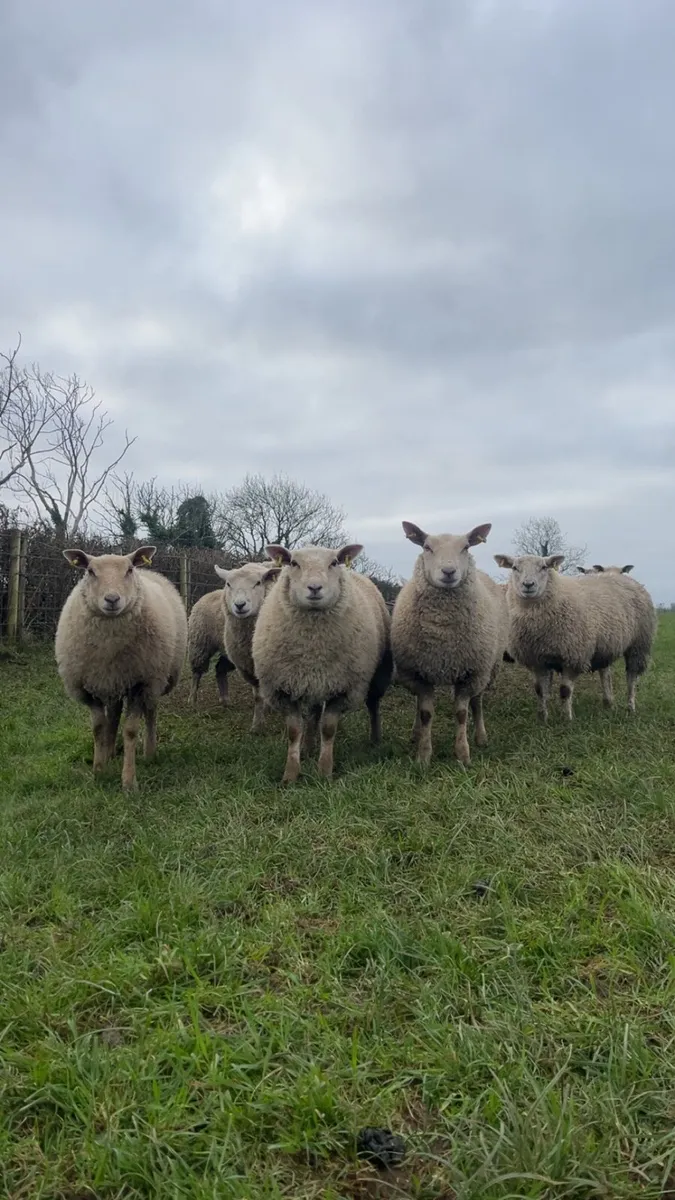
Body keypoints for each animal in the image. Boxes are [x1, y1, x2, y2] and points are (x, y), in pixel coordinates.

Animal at [55, 546, 187, 790]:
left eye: (129, 570)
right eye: (90, 571)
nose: (112, 599)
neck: (109, 645)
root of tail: (150, 571)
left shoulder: (140, 683)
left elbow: (131, 730)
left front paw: (129, 781)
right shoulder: (88, 687)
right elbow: (99, 727)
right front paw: (99, 771)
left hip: (157, 677)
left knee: (151, 711)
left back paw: (149, 752)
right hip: (113, 680)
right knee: (114, 713)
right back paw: (109, 751)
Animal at [213, 560, 281, 732]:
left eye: (258, 583)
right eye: (228, 584)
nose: (240, 605)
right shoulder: (249, 667)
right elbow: (258, 696)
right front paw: (257, 725)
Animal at [251, 543, 393, 783]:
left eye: (334, 562)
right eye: (294, 563)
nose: (315, 587)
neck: (313, 649)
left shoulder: (343, 688)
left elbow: (328, 729)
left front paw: (324, 772)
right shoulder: (284, 688)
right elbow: (294, 731)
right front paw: (290, 774)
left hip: (374, 676)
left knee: (373, 705)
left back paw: (375, 739)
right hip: (315, 682)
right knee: (314, 713)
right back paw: (308, 748)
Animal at [391, 522, 508, 766]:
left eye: (466, 547)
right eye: (427, 547)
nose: (448, 572)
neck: (442, 632)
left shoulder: (470, 673)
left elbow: (462, 714)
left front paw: (463, 755)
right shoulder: (419, 673)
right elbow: (425, 713)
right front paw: (423, 756)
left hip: (487, 668)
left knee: (477, 702)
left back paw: (481, 737)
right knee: (418, 704)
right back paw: (416, 733)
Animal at [494, 553, 656, 719]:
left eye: (544, 567)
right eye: (514, 568)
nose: (528, 584)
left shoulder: (573, 656)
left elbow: (565, 691)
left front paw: (566, 718)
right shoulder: (536, 659)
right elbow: (540, 690)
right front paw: (542, 718)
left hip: (639, 643)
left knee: (632, 677)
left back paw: (630, 706)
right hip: (607, 644)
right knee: (605, 674)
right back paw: (608, 703)